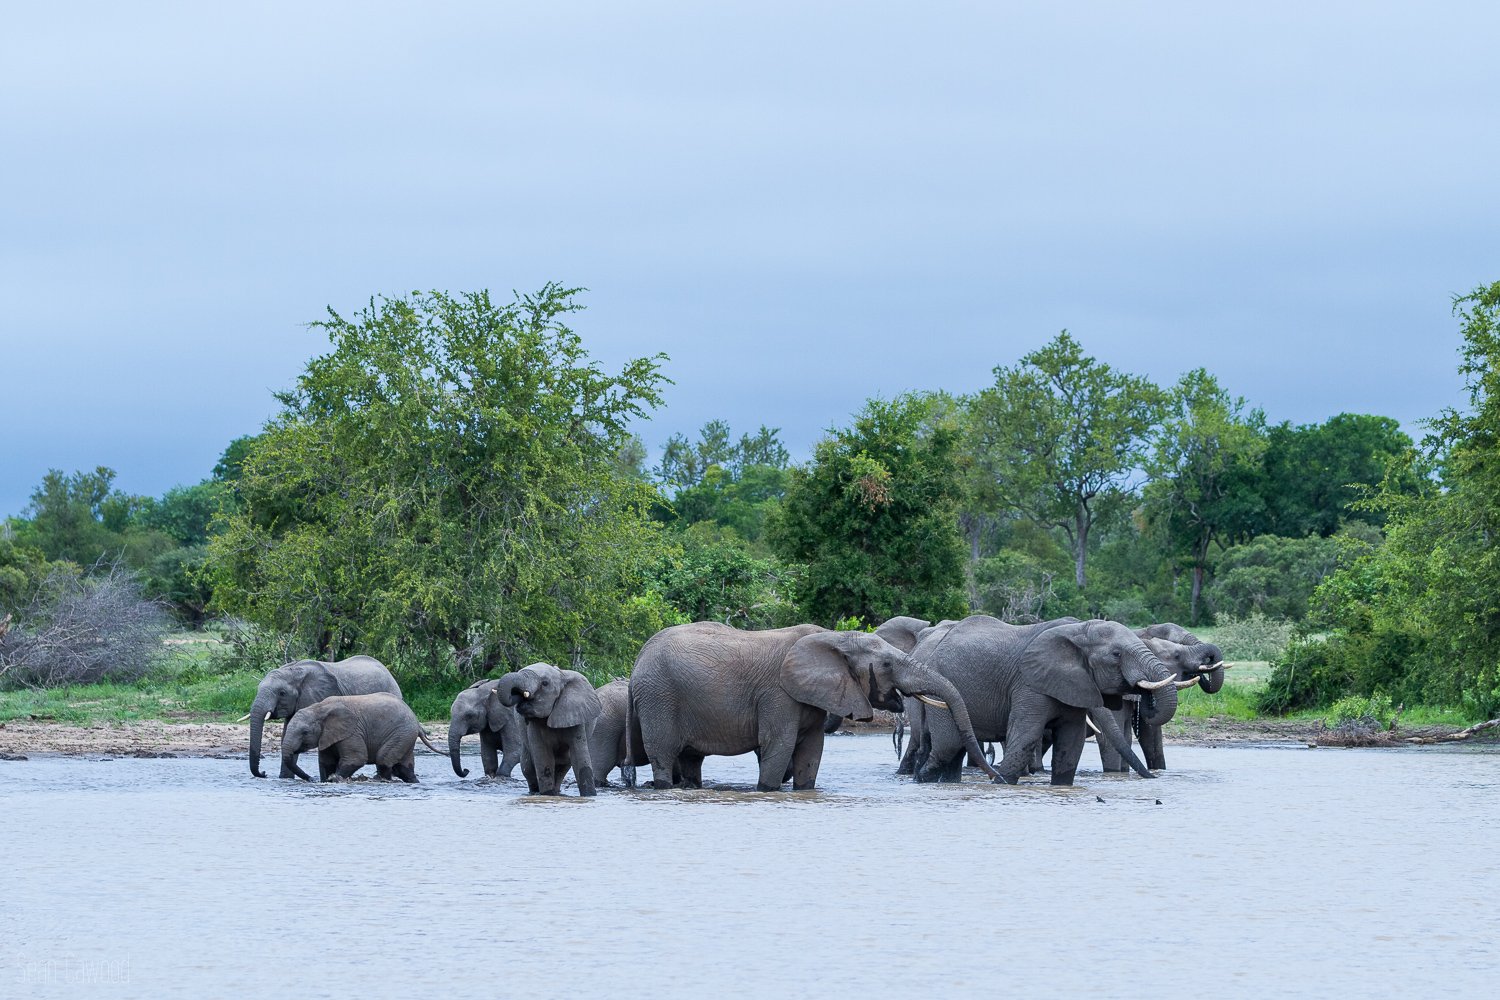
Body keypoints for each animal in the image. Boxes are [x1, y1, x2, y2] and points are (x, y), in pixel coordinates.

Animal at [279, 693, 442, 783]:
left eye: (305, 732)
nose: (310, 778)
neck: (319, 708)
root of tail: (417, 723)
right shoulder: (327, 736)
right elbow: (326, 762)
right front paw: (326, 780)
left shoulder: (352, 732)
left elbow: (356, 758)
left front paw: (334, 779)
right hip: (405, 736)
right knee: (403, 767)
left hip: (401, 733)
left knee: (383, 759)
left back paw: (380, 780)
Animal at [496, 663, 604, 797]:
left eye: (545, 683)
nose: (518, 695)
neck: (560, 675)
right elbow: (544, 758)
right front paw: (548, 795)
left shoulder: (575, 715)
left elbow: (580, 758)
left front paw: (589, 796)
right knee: (528, 767)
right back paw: (535, 792)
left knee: (563, 766)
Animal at [626, 621, 1002, 792]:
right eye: (885, 665)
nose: (997, 779)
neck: (832, 637)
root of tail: (636, 663)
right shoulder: (778, 694)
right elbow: (778, 747)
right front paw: (768, 791)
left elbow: (811, 750)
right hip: (660, 698)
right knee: (664, 755)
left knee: (691, 759)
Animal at [911, 616, 1181, 785]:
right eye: (1116, 654)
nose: (1142, 694)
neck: (1078, 630)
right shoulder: (1029, 682)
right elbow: (1027, 736)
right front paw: (1002, 784)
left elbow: (1071, 743)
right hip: (942, 690)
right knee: (946, 748)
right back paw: (919, 782)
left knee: (954, 753)